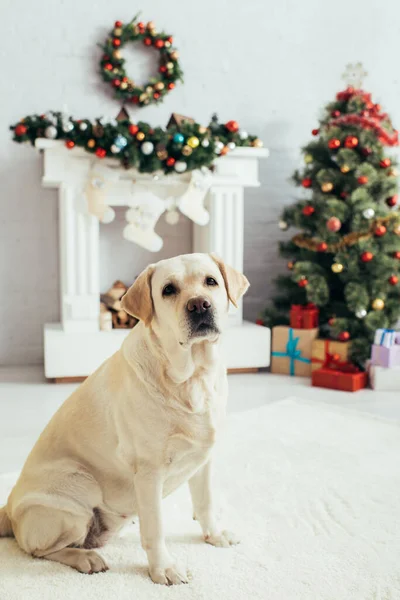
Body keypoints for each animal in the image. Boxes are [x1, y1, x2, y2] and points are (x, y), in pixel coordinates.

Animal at [0, 252, 248, 584]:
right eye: (168, 290)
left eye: (211, 281)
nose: (199, 305)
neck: (193, 376)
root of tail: (9, 507)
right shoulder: (149, 472)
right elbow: (155, 528)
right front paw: (163, 568)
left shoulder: (203, 459)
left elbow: (206, 502)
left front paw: (215, 535)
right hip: (79, 488)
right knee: (39, 551)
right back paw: (86, 558)